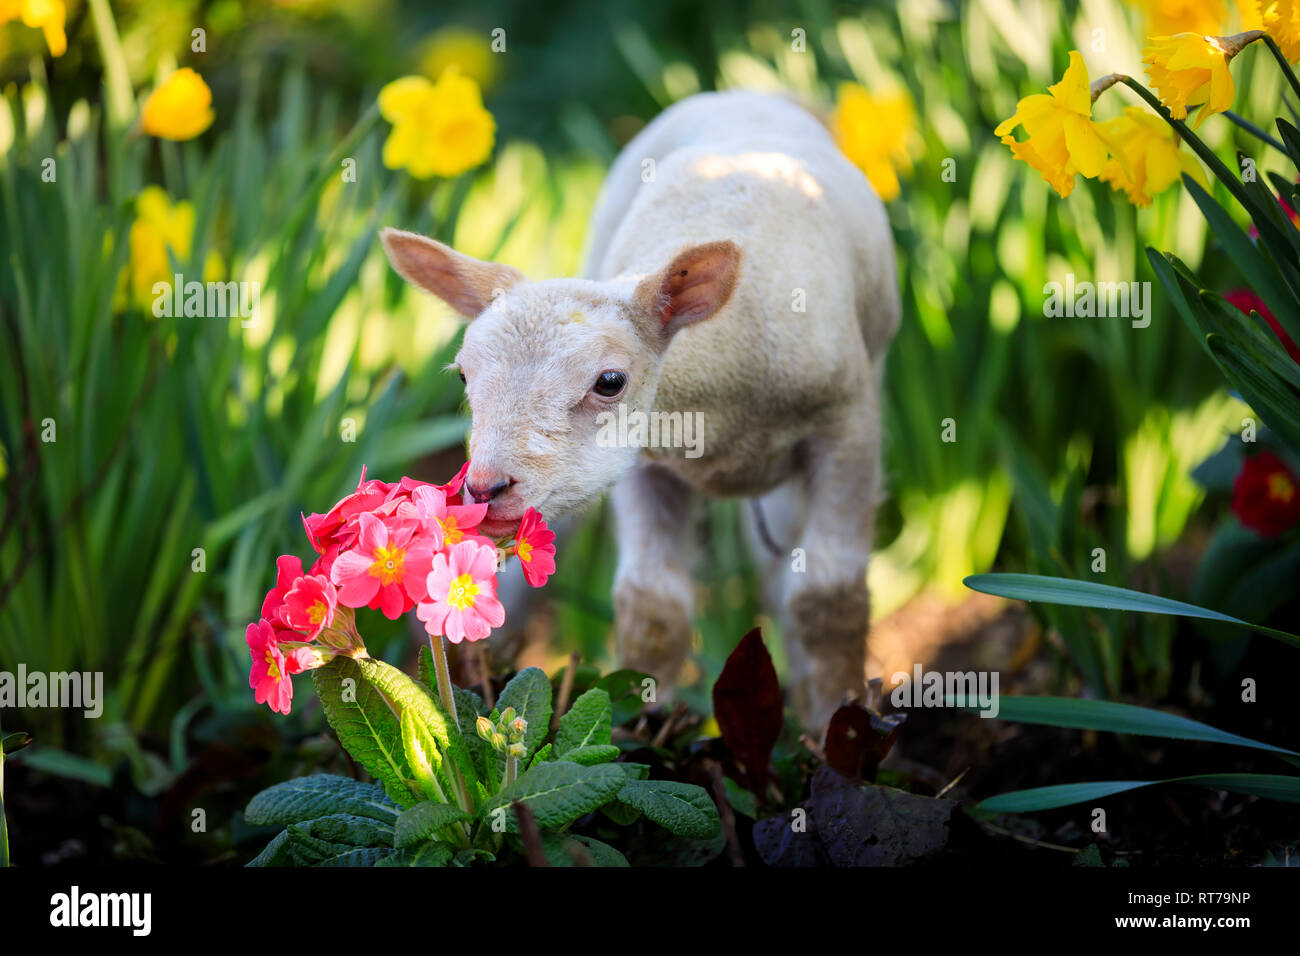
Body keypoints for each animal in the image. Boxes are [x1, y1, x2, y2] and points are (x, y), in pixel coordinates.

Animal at [379, 89, 899, 733]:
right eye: (464, 375)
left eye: (609, 382)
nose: (483, 488)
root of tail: (743, 93)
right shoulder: (642, 459)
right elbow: (653, 604)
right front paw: (642, 726)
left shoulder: (847, 427)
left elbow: (827, 599)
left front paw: (837, 724)